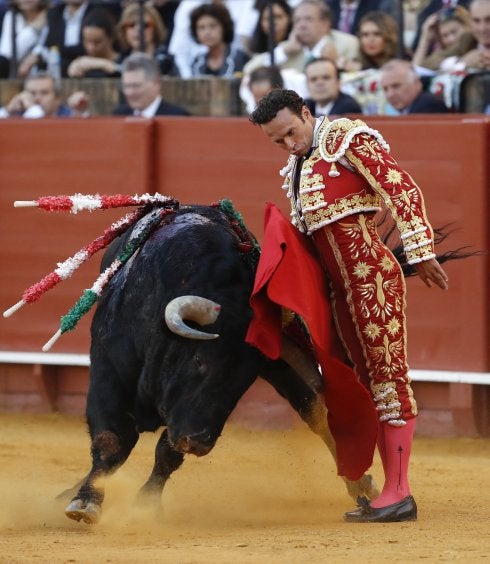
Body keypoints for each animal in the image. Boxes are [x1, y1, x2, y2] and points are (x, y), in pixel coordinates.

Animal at [63, 204, 378, 524]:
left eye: (245, 380)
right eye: (198, 360)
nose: (199, 442)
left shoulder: (188, 415)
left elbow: (167, 453)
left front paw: (146, 505)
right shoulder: (107, 370)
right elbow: (111, 441)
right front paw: (85, 501)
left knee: (315, 411)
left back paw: (360, 484)